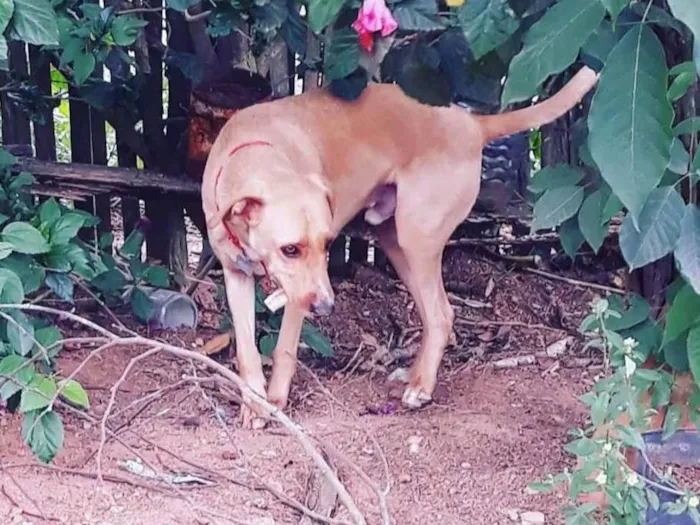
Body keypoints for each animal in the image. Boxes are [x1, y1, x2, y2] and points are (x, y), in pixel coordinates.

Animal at [201, 66, 596, 426]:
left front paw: (275, 402)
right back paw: (415, 374)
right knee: (434, 317)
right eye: (290, 249)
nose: (327, 307)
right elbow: (247, 353)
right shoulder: (236, 275)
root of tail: (472, 124)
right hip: (396, 244)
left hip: (417, 238)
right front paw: (253, 403)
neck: (258, 153)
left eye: (328, 244)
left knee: (442, 314)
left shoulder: (299, 296)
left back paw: (421, 387)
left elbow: (284, 349)